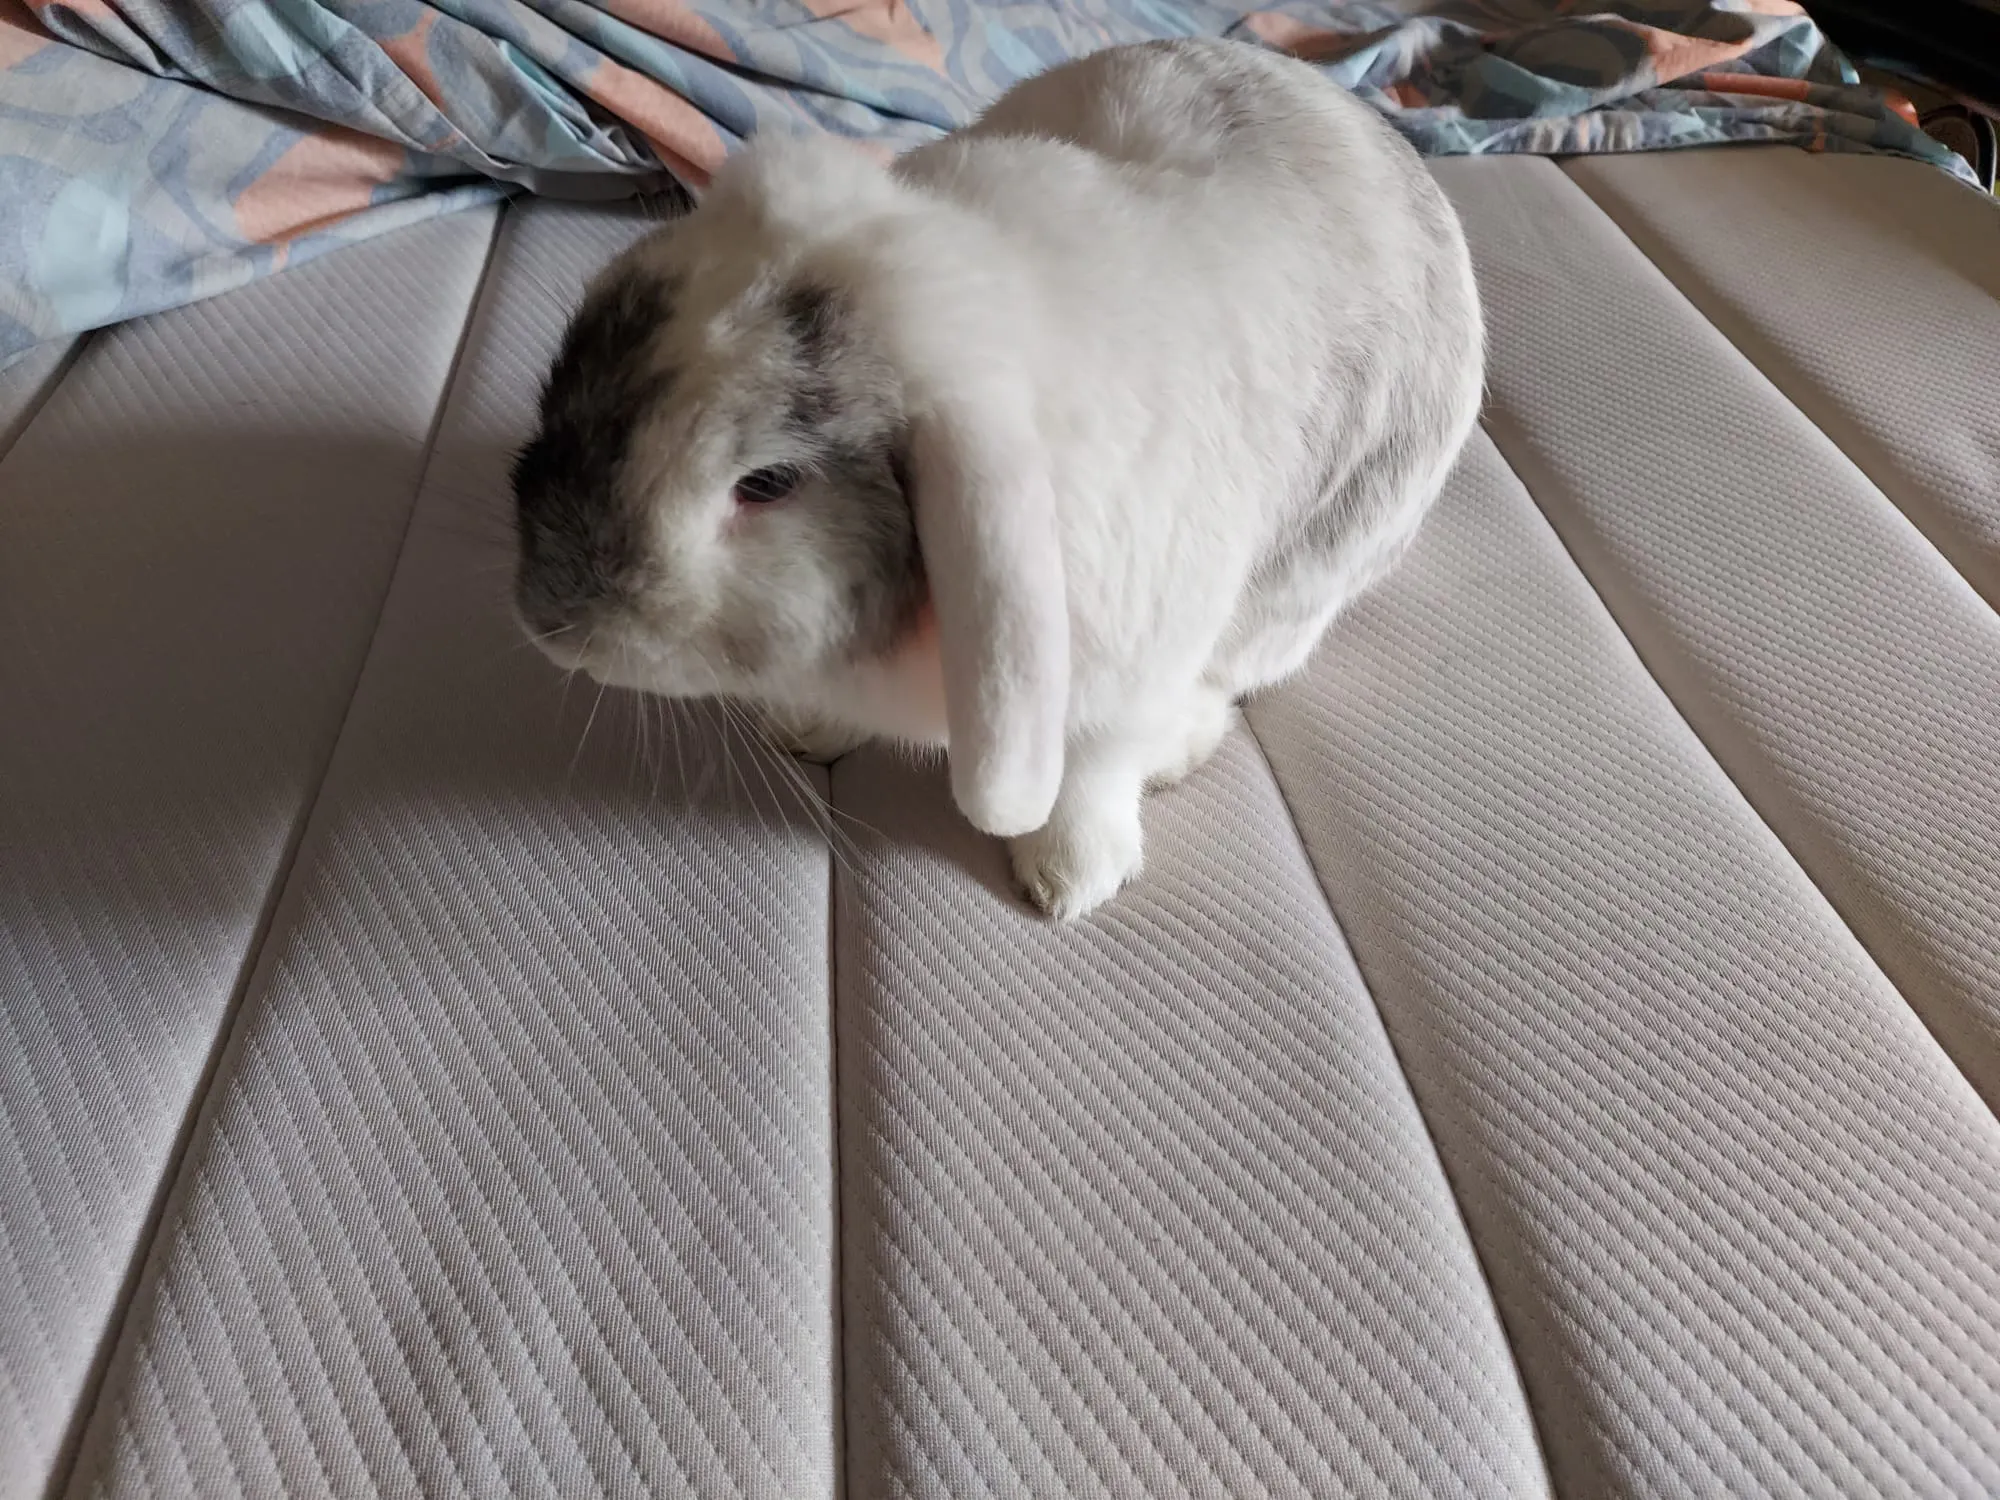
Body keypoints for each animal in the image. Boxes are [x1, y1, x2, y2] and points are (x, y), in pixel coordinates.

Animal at [511, 37, 1484, 919]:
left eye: (766, 485)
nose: (549, 624)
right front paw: (806, 728)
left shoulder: (1125, 678)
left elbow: (1092, 777)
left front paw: (1069, 881)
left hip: (1308, 584)